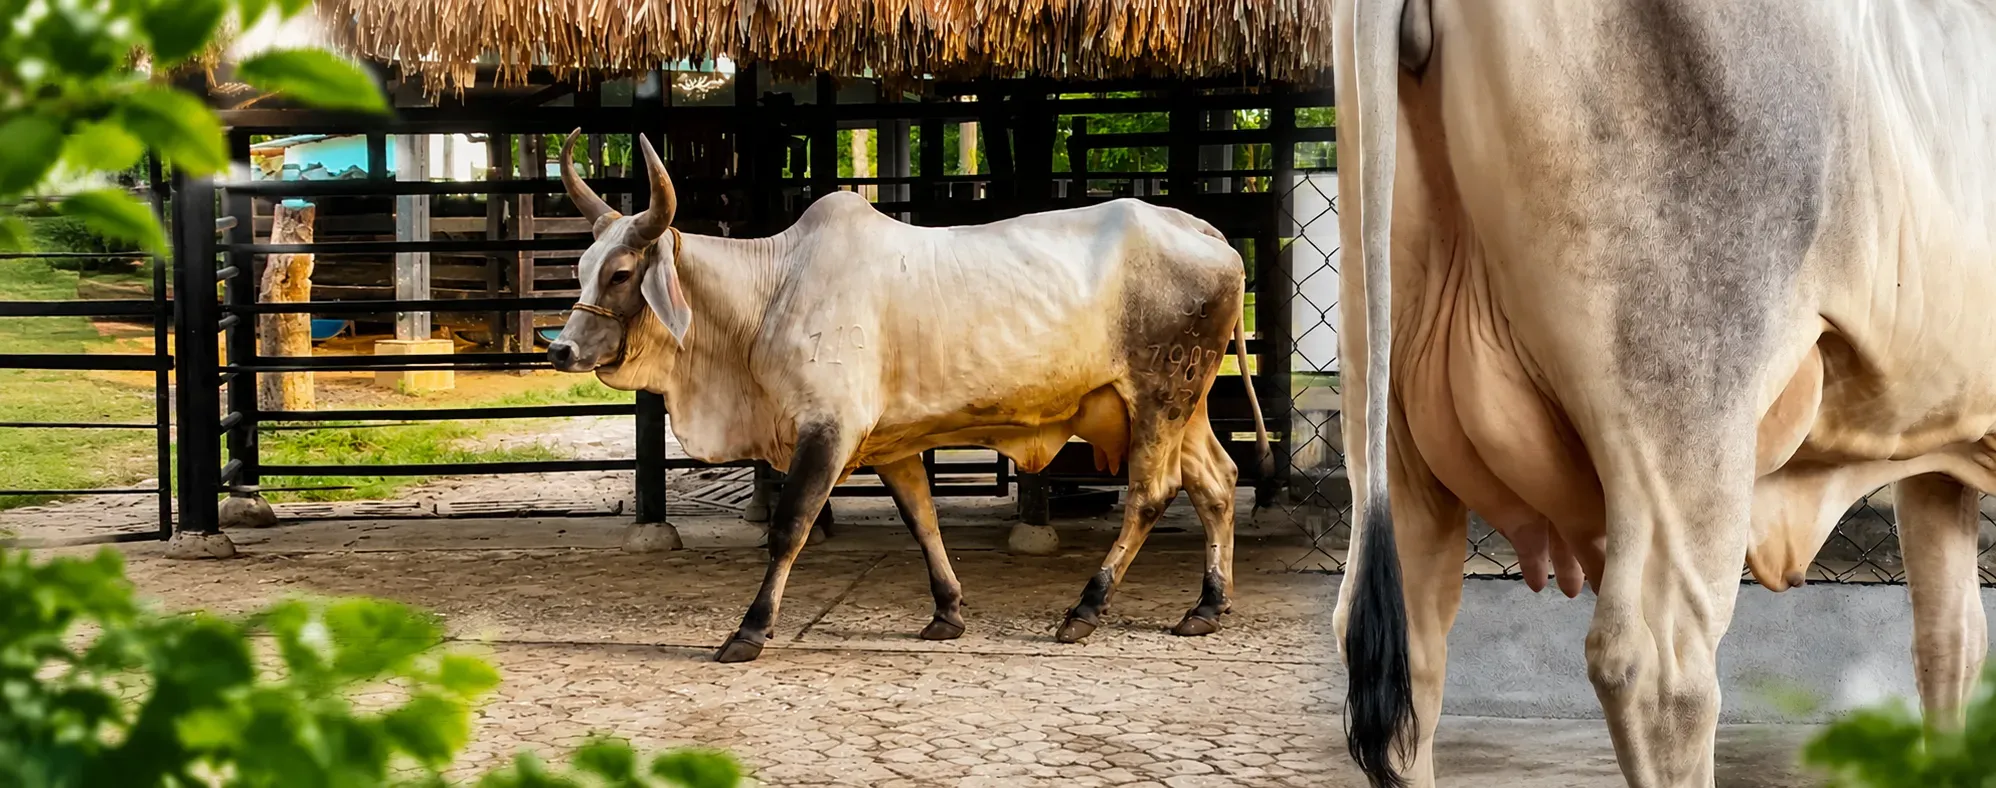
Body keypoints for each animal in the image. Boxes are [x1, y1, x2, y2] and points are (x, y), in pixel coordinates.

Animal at [546, 129, 1273, 664]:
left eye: (621, 272)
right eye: (582, 268)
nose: (562, 351)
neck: (769, 292)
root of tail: (1203, 230)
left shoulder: (828, 429)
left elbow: (789, 528)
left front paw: (749, 631)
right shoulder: (888, 444)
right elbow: (923, 521)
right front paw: (947, 611)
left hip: (1159, 395)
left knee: (1151, 494)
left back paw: (1086, 610)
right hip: (1185, 406)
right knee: (1216, 482)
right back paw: (1206, 607)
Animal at [1331, 0, 1996, 785]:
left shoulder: (1936, 453)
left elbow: (1952, 640)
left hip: (1389, 414)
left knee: (1409, 651)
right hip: (1679, 410)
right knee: (1658, 666)